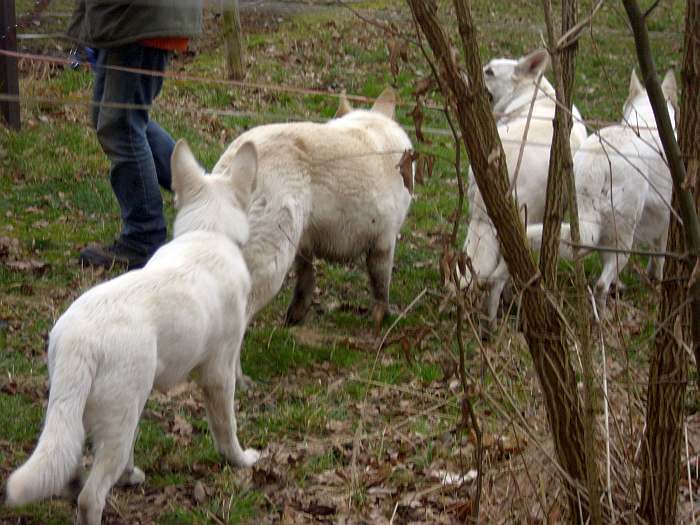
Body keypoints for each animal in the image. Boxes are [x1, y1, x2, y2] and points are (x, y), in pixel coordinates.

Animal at [4, 139, 262, 524]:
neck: (208, 233)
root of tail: (81, 342)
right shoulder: (219, 372)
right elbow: (226, 427)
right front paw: (241, 460)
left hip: (80, 409)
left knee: (70, 467)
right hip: (123, 415)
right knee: (92, 494)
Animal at [528, 68, 676, 310]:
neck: (647, 121)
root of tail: (595, 163)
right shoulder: (666, 221)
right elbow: (660, 258)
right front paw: (658, 281)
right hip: (623, 239)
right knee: (601, 284)